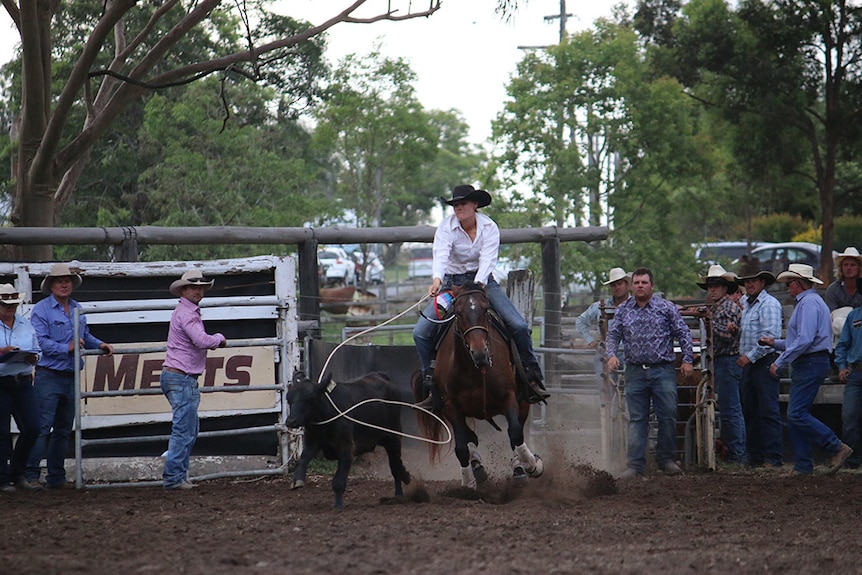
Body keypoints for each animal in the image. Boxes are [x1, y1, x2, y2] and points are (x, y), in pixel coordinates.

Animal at [414, 282, 548, 488]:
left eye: (485, 310)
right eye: (458, 313)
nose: (480, 353)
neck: (475, 368)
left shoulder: (509, 397)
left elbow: (516, 434)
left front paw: (533, 465)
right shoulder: (451, 406)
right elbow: (461, 447)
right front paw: (468, 481)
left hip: (524, 401)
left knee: (514, 434)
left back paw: (519, 468)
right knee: (471, 437)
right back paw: (477, 468)